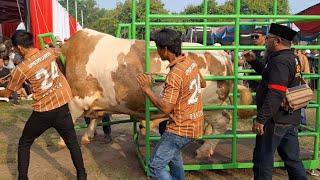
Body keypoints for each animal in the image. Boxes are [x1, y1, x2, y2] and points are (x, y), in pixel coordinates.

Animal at [57, 29, 252, 159]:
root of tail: (222, 53)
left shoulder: (78, 99)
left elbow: (68, 119)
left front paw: (62, 142)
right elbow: (95, 118)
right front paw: (87, 136)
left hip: (209, 104)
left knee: (223, 121)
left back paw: (203, 150)